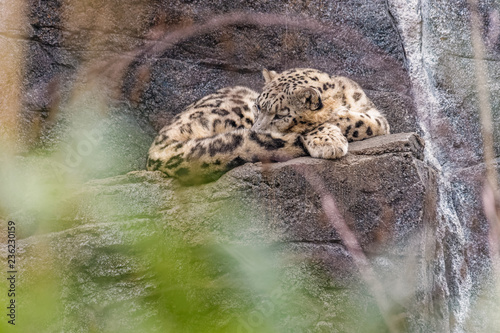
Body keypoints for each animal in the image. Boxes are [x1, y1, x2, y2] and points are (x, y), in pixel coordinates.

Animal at [146, 67, 388, 184]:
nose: (256, 131)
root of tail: (155, 150)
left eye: (280, 114)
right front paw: (326, 138)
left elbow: (358, 122)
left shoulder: (377, 117)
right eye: (258, 106)